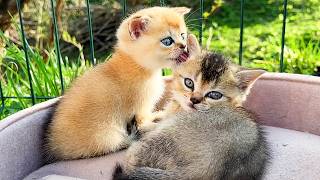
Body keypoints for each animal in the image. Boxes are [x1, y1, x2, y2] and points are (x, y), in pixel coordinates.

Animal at [45, 6, 190, 160]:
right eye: (167, 41)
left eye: (183, 35)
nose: (184, 46)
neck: (137, 66)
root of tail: (55, 149)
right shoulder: (140, 108)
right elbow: (144, 124)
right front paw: (158, 120)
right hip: (107, 135)